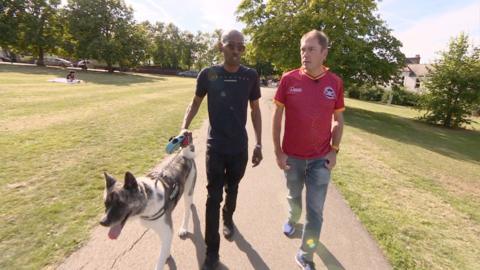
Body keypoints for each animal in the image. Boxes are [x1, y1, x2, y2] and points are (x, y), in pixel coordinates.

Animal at [99, 138, 197, 268]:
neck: (147, 202)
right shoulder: (161, 231)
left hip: (188, 191)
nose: (102, 222)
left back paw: (184, 228)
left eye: (120, 203)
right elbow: (165, 248)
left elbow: (160, 260)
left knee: (187, 210)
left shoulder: (166, 231)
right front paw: (167, 253)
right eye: (106, 203)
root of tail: (184, 155)